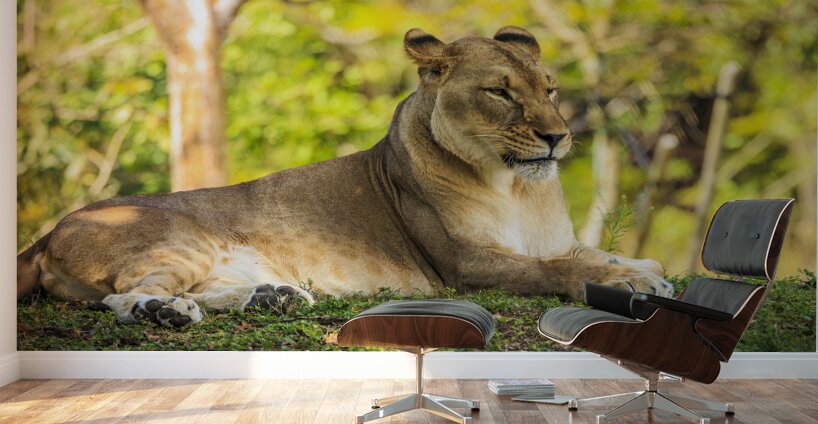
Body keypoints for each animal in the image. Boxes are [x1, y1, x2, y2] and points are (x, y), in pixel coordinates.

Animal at [17, 26, 673, 327]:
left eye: (550, 91)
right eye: (501, 93)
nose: (558, 136)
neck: (515, 187)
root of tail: (46, 234)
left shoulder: (557, 239)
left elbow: (594, 254)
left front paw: (645, 271)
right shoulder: (463, 265)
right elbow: (560, 269)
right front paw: (629, 283)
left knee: (193, 291)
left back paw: (272, 296)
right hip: (181, 239)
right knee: (125, 295)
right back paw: (165, 312)